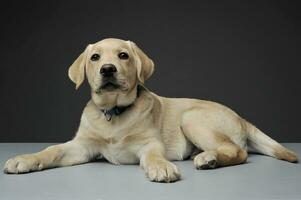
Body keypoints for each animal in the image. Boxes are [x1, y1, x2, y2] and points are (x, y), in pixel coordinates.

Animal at [3, 38, 296, 183]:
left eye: (123, 55)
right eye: (95, 57)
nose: (107, 69)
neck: (113, 113)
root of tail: (241, 118)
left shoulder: (149, 143)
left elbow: (154, 155)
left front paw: (162, 167)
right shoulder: (82, 146)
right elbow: (51, 150)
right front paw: (25, 159)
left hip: (192, 118)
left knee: (239, 152)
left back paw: (208, 158)